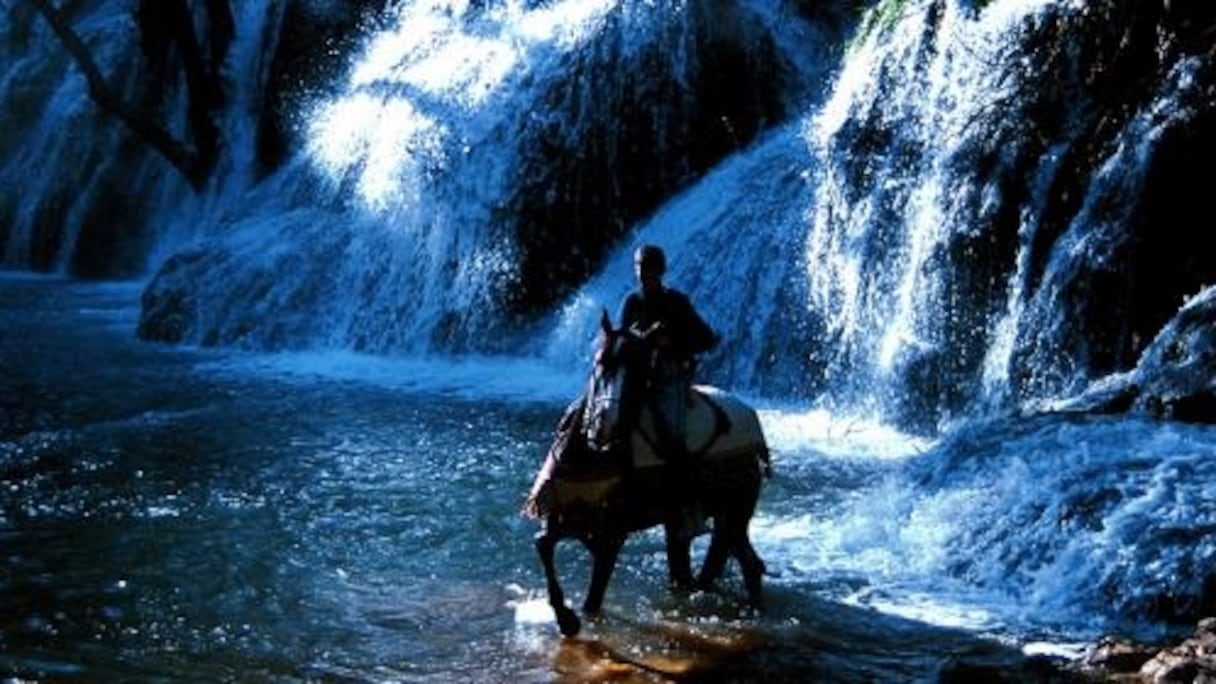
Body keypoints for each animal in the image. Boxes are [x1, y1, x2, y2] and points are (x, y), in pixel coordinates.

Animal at [522, 309, 768, 632]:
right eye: (600, 361)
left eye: (638, 371)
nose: (604, 428)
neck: (590, 458)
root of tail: (749, 416)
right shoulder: (562, 517)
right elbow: (542, 545)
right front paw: (565, 617)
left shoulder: (612, 537)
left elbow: (593, 599)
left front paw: (572, 618)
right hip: (698, 521)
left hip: (734, 514)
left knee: (748, 565)